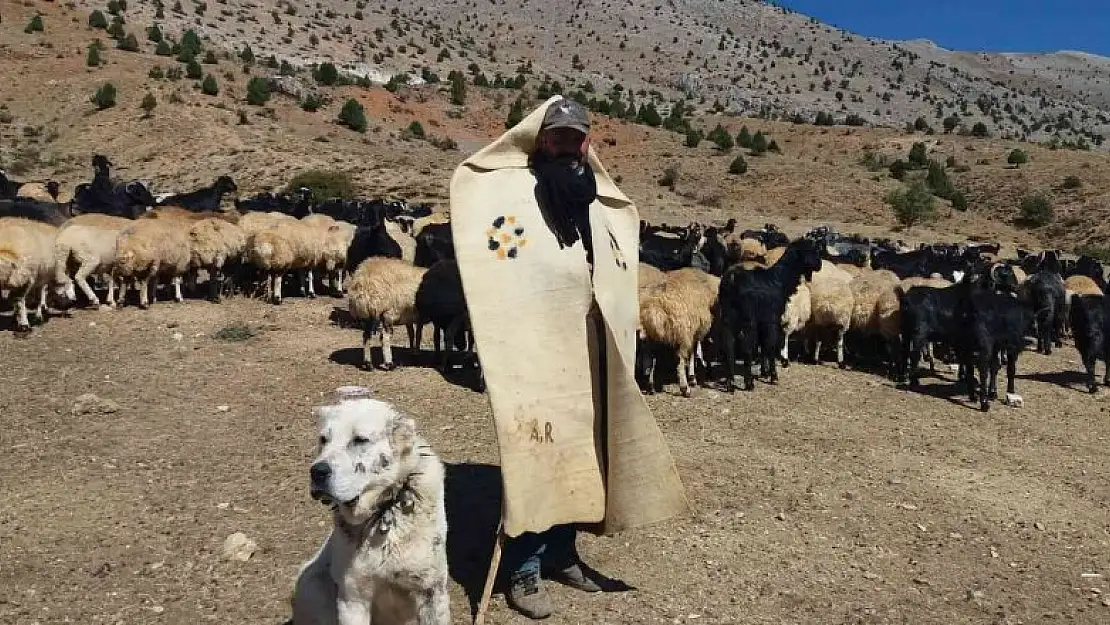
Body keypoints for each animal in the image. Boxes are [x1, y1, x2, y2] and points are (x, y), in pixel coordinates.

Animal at [295, 390, 455, 625]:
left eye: (360, 440)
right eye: (323, 439)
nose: (317, 472)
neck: (385, 511)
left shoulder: (432, 592)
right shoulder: (352, 599)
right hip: (311, 584)